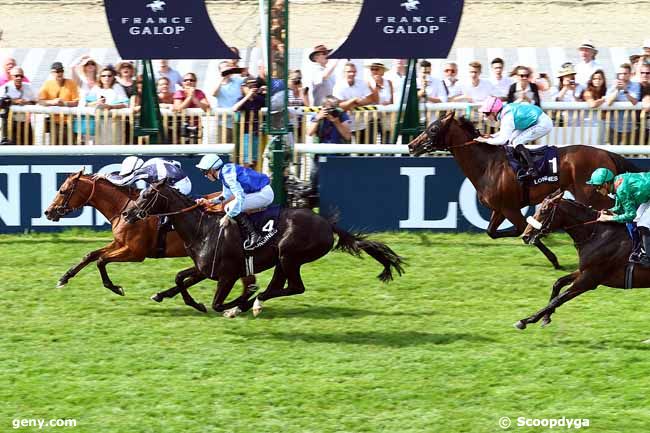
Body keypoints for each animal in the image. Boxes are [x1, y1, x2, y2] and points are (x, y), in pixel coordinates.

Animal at [43, 169, 251, 310]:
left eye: (63, 191)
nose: (48, 212)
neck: (122, 208)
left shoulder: (135, 252)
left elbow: (101, 260)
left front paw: (115, 288)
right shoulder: (120, 243)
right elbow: (91, 255)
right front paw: (64, 278)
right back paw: (163, 295)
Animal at [121, 179, 402, 318]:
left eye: (146, 195)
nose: (126, 213)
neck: (203, 228)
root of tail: (328, 223)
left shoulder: (227, 275)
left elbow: (217, 303)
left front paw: (235, 303)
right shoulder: (204, 269)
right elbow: (180, 278)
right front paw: (169, 297)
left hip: (290, 256)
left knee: (294, 287)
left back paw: (249, 304)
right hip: (283, 261)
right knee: (281, 286)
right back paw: (253, 303)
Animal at [404, 111, 636, 266]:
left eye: (433, 129)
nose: (411, 145)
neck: (488, 165)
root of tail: (607, 153)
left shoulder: (510, 208)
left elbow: (525, 229)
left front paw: (553, 258)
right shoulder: (501, 208)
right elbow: (492, 232)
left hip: (591, 195)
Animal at [512, 191, 648, 330]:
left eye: (544, 210)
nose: (525, 236)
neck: (596, 235)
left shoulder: (589, 280)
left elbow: (558, 299)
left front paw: (526, 320)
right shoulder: (583, 271)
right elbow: (558, 283)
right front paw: (546, 317)